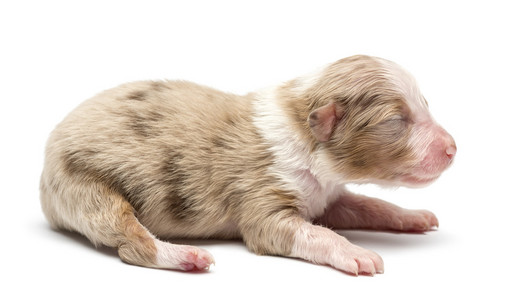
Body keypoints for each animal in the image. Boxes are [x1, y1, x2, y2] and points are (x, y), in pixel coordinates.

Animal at [40, 55, 456, 276]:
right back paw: (184, 256)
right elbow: (306, 232)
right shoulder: (263, 198)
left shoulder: (328, 196)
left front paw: (413, 216)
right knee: (130, 242)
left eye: (425, 105)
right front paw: (356, 251)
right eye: (396, 120)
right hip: (87, 189)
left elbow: (370, 205)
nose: (454, 149)